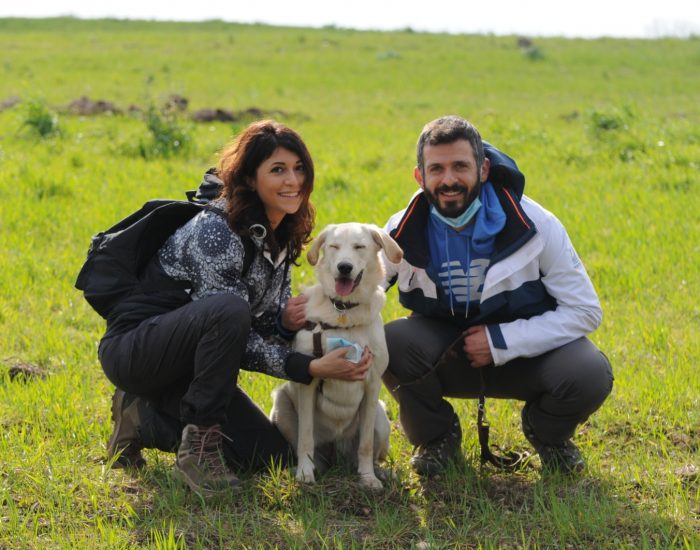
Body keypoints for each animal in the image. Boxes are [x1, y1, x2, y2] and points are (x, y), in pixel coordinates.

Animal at [274, 224, 404, 492]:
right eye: (333, 246)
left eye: (359, 246)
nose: (344, 267)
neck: (343, 311)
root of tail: (337, 455)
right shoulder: (308, 382)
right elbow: (305, 437)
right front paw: (304, 473)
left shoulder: (372, 383)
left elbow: (365, 444)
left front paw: (368, 478)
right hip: (281, 404)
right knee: (311, 449)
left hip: (380, 416)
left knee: (368, 452)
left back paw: (380, 473)